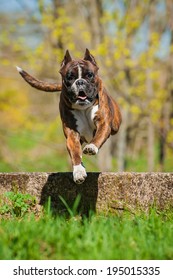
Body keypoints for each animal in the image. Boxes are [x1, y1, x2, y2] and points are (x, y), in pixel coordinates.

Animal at [16, 48, 121, 184]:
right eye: (70, 77)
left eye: (90, 75)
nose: (80, 82)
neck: (83, 108)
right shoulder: (72, 134)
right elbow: (75, 153)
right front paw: (78, 171)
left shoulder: (103, 124)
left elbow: (98, 137)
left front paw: (91, 147)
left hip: (115, 125)